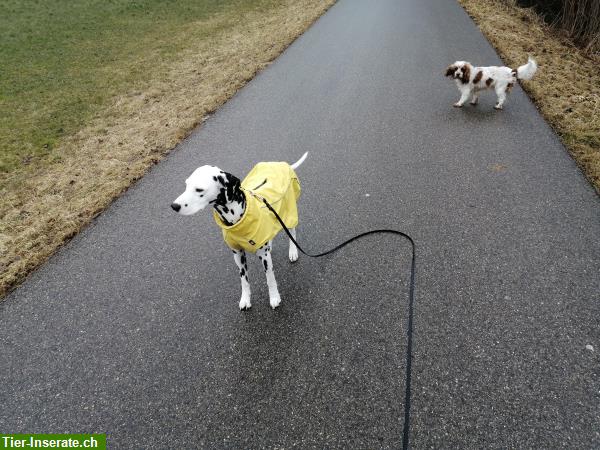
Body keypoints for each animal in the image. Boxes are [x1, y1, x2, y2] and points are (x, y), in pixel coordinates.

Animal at [170, 153, 308, 312]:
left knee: (292, 232)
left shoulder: (264, 258)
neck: (236, 220)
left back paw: (293, 252)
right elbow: (244, 281)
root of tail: (282, 164)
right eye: (186, 185)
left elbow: (270, 278)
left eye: (199, 190)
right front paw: (245, 299)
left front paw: (274, 297)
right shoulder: (238, 254)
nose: (174, 206)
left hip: (288, 214)